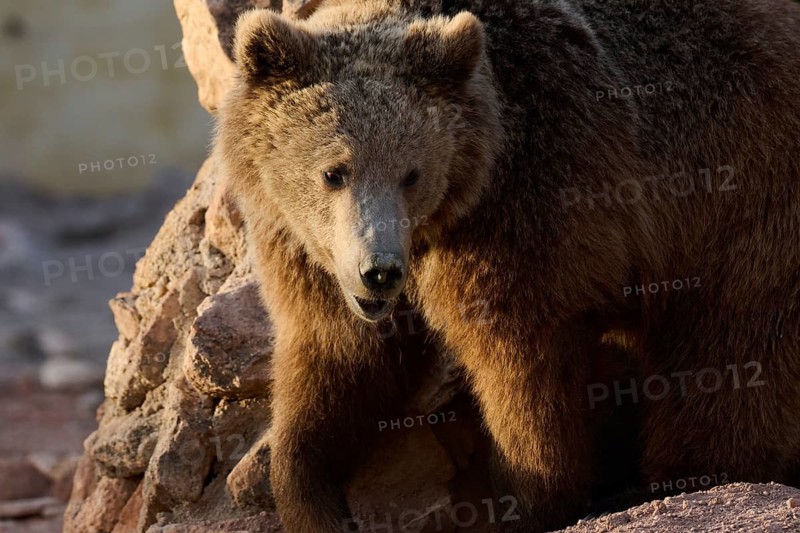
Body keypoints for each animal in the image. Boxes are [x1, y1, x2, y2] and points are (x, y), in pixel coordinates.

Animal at [216, 0, 800, 530]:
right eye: (334, 172)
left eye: (411, 173)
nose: (379, 270)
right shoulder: (302, 248)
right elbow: (338, 360)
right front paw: (310, 493)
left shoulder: (530, 208)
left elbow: (522, 368)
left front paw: (529, 495)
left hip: (742, 185)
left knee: (729, 346)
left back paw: (695, 471)